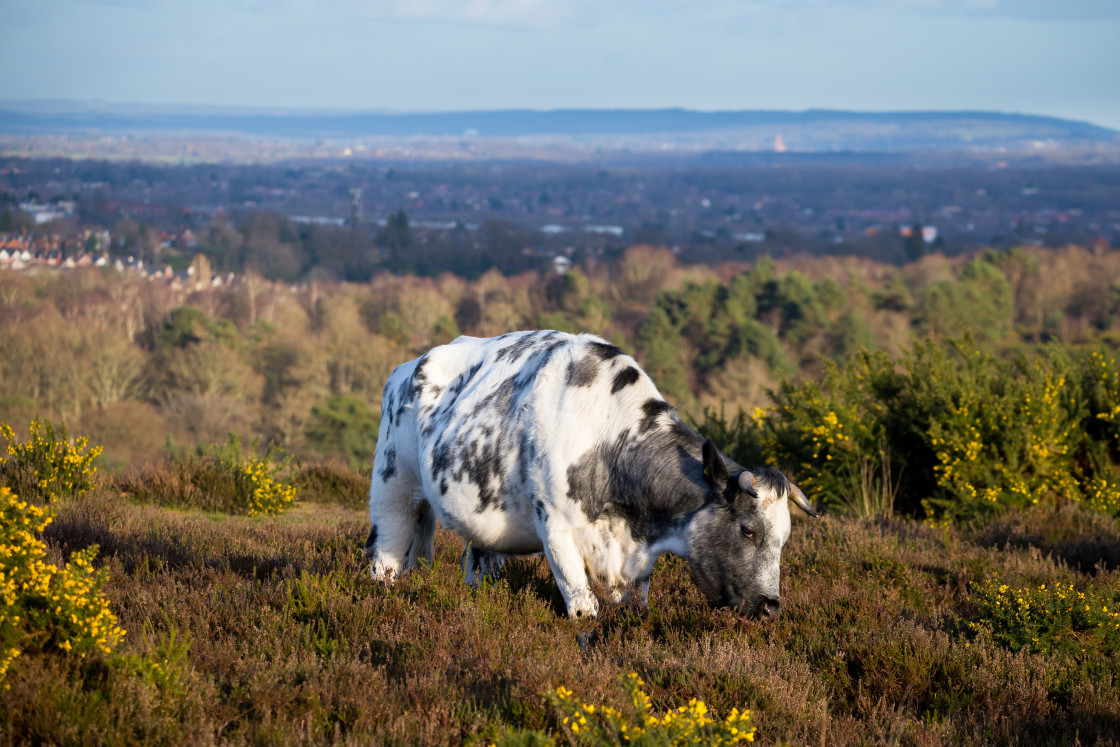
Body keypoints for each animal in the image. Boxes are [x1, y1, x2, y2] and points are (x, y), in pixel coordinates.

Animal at [362, 331, 819, 618]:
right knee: (386, 549)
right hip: (393, 487)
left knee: (470, 560)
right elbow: (583, 607)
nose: (771, 606)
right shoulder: (556, 527)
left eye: (785, 538)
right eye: (747, 530)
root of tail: (408, 366)